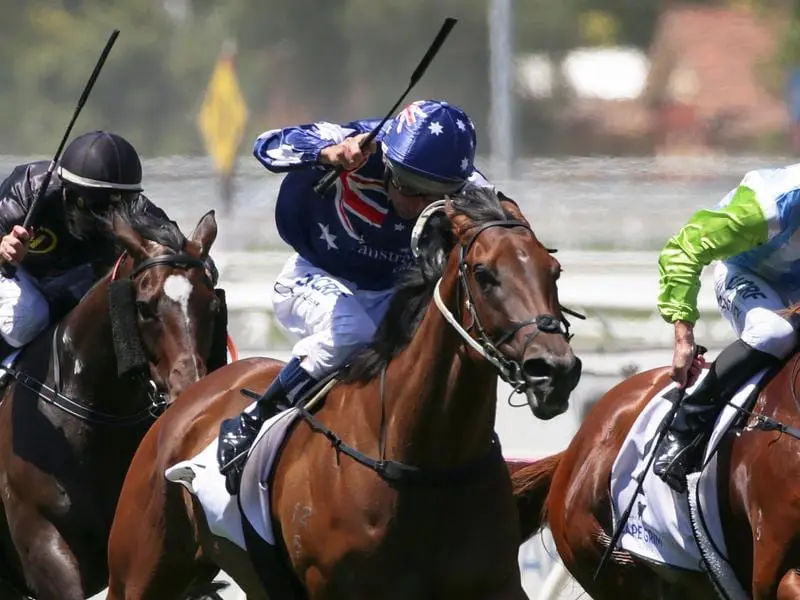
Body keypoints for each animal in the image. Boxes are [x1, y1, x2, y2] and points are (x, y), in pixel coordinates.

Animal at [104, 188, 580, 600]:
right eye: (484, 274)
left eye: (554, 272)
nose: (555, 371)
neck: (423, 463)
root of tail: (188, 395)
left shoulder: (496, 584)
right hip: (139, 572)